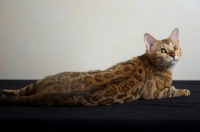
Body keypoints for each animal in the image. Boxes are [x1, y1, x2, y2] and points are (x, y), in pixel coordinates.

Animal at [0, 28, 190, 105]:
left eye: (175, 47)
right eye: (163, 50)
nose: (173, 55)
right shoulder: (152, 93)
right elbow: (171, 90)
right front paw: (183, 90)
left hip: (41, 81)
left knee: (20, 91)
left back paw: (5, 92)